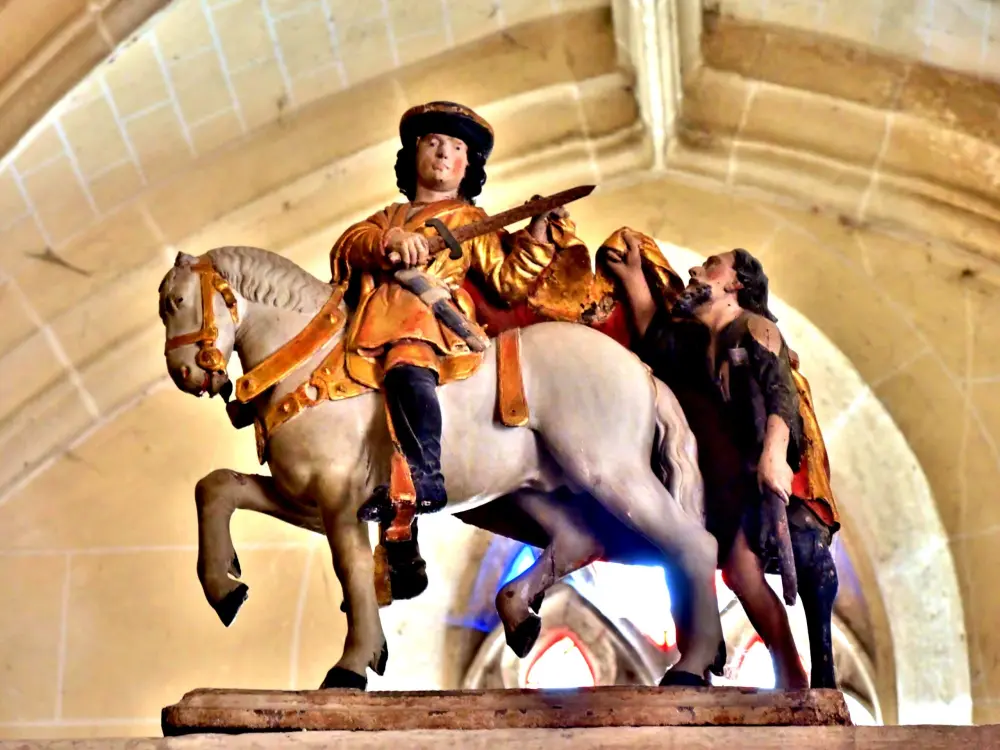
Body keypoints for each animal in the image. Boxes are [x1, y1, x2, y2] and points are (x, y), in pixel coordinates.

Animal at [156, 245, 724, 688]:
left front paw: (351, 665)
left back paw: (688, 669)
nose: (185, 375)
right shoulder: (309, 500)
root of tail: (643, 370)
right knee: (580, 539)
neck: (309, 363)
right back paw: (518, 614)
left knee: (692, 545)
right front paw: (224, 587)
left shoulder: (338, 499)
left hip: (610, 472)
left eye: (178, 302)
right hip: (533, 488)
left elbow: (352, 572)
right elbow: (217, 487)